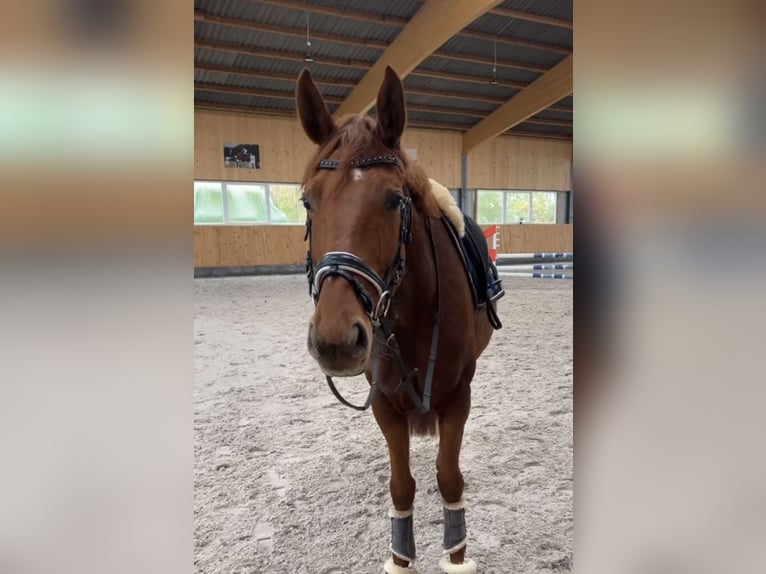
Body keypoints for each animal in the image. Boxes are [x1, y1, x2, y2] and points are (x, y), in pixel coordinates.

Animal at [296, 67, 500, 574]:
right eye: (308, 202)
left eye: (393, 200)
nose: (335, 339)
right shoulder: (385, 403)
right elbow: (401, 486)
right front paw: (400, 557)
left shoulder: (458, 395)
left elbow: (449, 478)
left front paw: (456, 556)